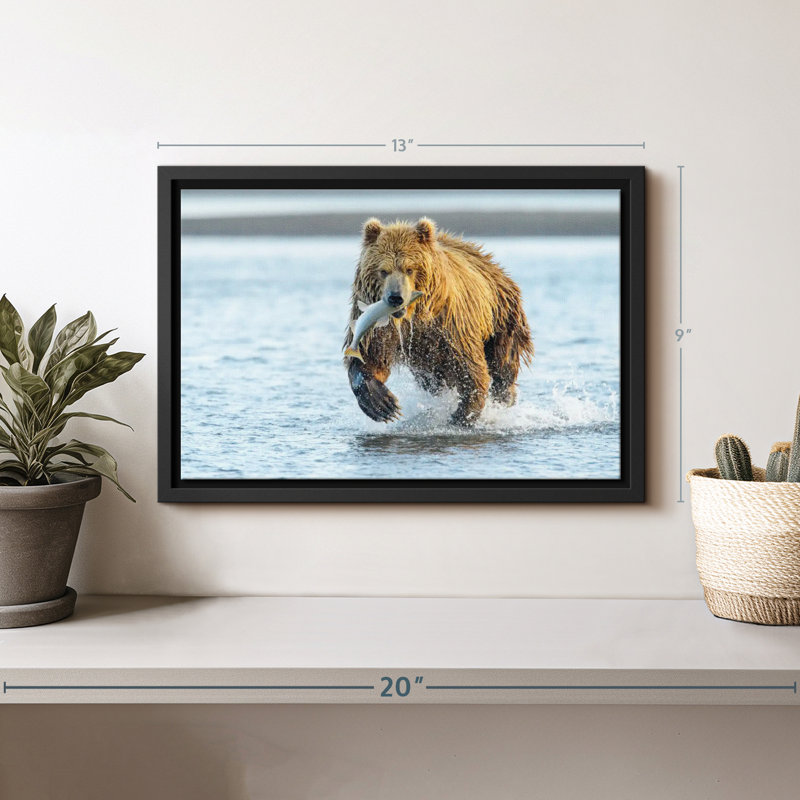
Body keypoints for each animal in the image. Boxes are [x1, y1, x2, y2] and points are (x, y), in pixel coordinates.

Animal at [343, 217, 534, 426]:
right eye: (383, 270)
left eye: (410, 268)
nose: (395, 298)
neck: (413, 316)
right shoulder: (379, 328)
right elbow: (370, 358)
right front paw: (383, 404)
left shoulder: (452, 324)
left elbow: (470, 367)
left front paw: (462, 415)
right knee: (432, 380)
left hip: (502, 316)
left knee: (503, 363)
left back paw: (505, 396)